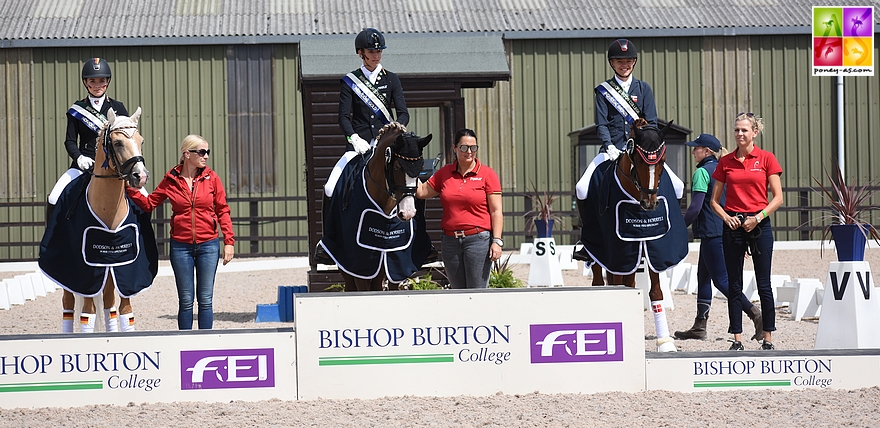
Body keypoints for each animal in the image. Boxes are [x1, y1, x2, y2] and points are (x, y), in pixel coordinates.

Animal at [39, 106, 156, 332]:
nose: (141, 176)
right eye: (117, 143)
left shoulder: (126, 267)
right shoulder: (84, 273)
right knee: (68, 306)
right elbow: (87, 315)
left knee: (109, 304)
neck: (108, 211)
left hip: (108, 272)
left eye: (142, 140)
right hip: (66, 273)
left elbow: (126, 313)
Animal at [320, 122, 436, 292]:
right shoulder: (358, 263)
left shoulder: (394, 258)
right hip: (343, 262)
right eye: (397, 167)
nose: (408, 213)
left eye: (421, 167)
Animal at [580, 118, 692, 352]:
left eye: (663, 160)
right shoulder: (620, 251)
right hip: (598, 252)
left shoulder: (653, 247)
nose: (649, 202)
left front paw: (665, 342)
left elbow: (656, 292)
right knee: (599, 282)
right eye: (638, 160)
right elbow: (623, 287)